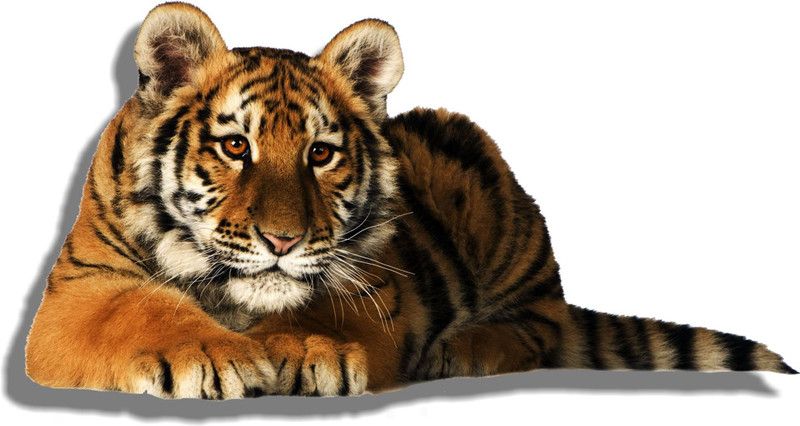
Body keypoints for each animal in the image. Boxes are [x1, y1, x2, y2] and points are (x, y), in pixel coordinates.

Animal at [25, 2, 795, 399]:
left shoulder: (377, 285)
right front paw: (216, 356)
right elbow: (139, 309)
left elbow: (327, 306)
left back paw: (466, 349)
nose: (282, 241)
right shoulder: (79, 290)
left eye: (321, 154)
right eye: (235, 147)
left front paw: (310, 350)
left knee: (542, 324)